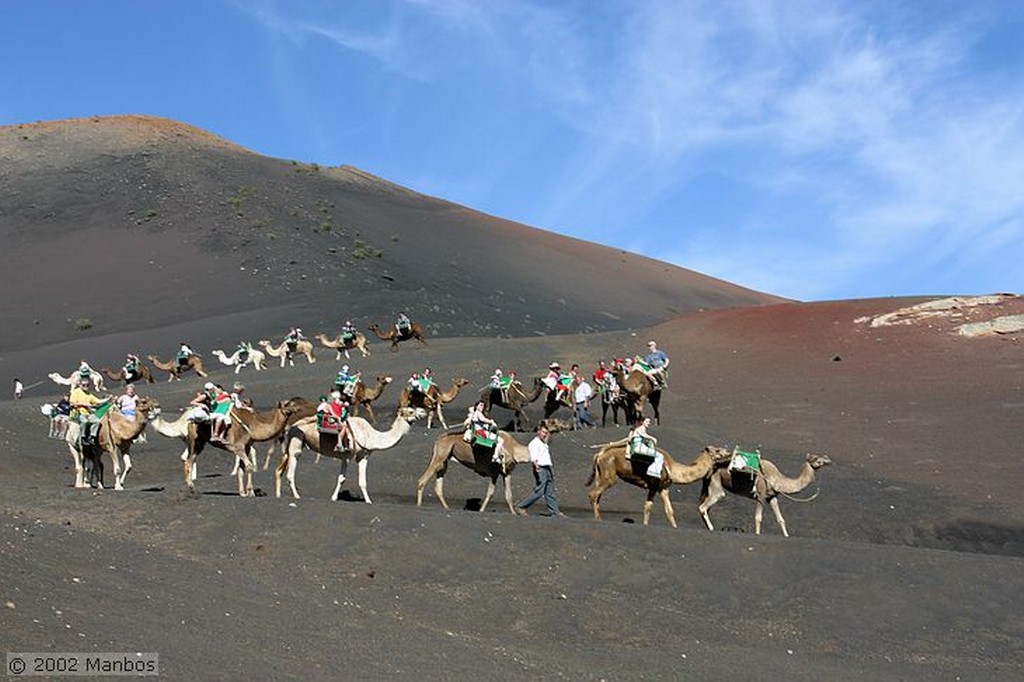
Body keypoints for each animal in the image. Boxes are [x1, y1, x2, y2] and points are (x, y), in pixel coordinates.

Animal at [274, 405, 425, 501]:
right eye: (411, 411)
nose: (423, 412)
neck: (370, 435)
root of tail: (291, 427)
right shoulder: (346, 456)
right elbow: (342, 478)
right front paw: (334, 498)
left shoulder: (364, 456)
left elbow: (363, 481)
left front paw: (369, 501)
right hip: (296, 444)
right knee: (290, 472)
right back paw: (297, 496)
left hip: (290, 446)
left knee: (280, 470)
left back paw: (278, 495)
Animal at [585, 440, 737, 524]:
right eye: (717, 450)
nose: (729, 453)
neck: (673, 469)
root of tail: (599, 455)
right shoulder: (653, 485)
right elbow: (648, 507)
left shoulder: (663, 488)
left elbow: (669, 511)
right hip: (610, 475)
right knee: (593, 494)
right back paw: (598, 519)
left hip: (600, 474)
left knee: (597, 495)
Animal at [700, 450, 835, 536]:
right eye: (816, 458)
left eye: (822, 456)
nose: (828, 459)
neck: (777, 479)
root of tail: (712, 466)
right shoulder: (761, 495)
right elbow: (758, 518)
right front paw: (757, 534)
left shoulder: (772, 497)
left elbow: (781, 519)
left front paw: (786, 536)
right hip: (716, 482)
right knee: (705, 505)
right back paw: (711, 528)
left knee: (705, 506)